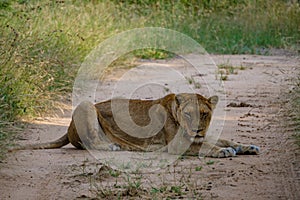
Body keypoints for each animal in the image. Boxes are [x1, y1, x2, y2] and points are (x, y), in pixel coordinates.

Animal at [10, 93, 258, 157]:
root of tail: (67, 128)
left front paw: (246, 146)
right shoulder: (177, 145)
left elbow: (223, 139)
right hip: (86, 105)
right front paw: (225, 151)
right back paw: (112, 146)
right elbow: (206, 146)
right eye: (188, 115)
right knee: (89, 142)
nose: (197, 129)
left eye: (205, 114)